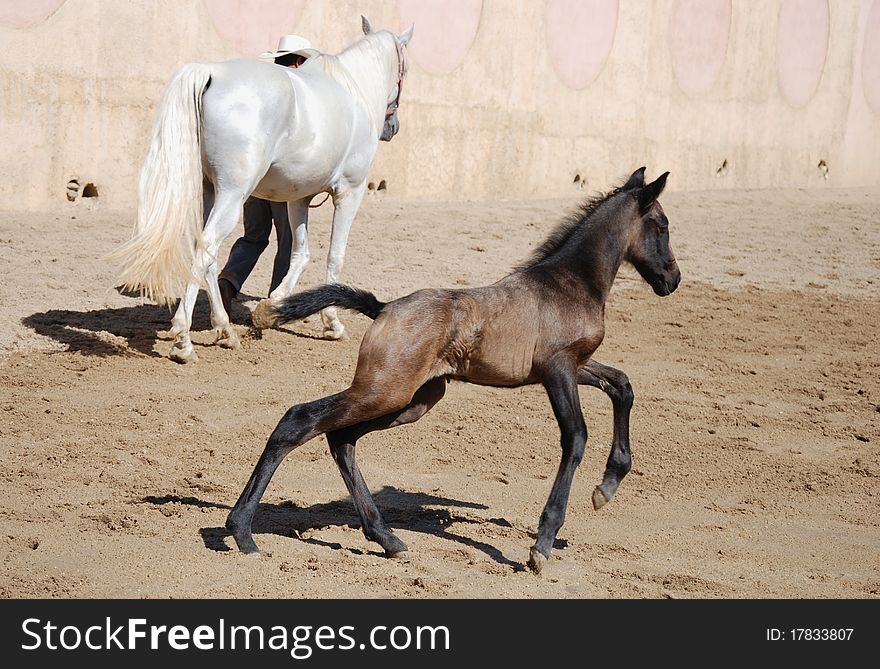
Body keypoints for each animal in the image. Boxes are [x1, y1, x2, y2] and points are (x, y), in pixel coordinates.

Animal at [110, 17, 412, 360]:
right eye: (405, 69)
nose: (392, 127)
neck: (354, 90)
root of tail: (209, 72)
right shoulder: (350, 192)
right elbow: (334, 257)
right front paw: (332, 323)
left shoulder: (299, 198)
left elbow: (300, 254)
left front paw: (273, 307)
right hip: (233, 193)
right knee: (207, 248)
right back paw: (183, 341)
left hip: (211, 192)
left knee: (207, 254)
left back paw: (225, 331)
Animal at [227, 166, 680, 568]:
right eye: (661, 226)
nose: (672, 280)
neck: (570, 282)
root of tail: (384, 307)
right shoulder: (558, 368)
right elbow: (576, 437)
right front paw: (543, 543)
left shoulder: (576, 364)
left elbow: (623, 385)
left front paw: (609, 485)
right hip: (384, 390)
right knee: (300, 420)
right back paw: (242, 532)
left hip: (413, 399)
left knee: (341, 438)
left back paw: (387, 538)